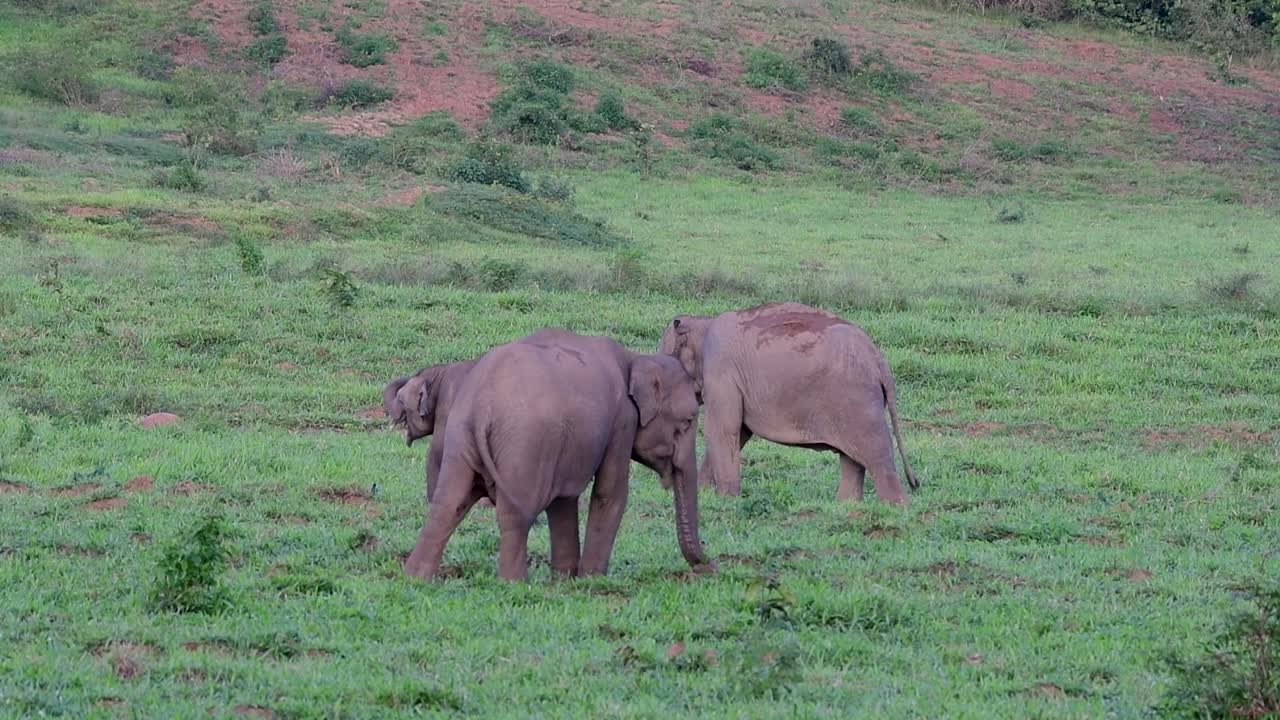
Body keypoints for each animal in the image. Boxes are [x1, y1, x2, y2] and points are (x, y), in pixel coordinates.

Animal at [401, 329, 711, 582]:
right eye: (687, 421)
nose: (709, 567)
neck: (635, 358)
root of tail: (482, 408)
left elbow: (564, 500)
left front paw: (565, 579)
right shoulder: (623, 420)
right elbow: (610, 493)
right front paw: (590, 581)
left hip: (461, 439)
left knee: (447, 504)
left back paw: (416, 577)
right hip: (524, 446)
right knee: (514, 514)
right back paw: (514, 583)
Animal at [659, 301, 919, 506]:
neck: (703, 322)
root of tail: (879, 360)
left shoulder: (721, 371)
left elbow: (723, 430)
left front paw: (725, 499)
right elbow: (739, 433)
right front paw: (703, 494)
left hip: (858, 400)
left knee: (876, 453)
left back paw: (896, 507)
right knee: (852, 458)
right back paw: (844, 506)